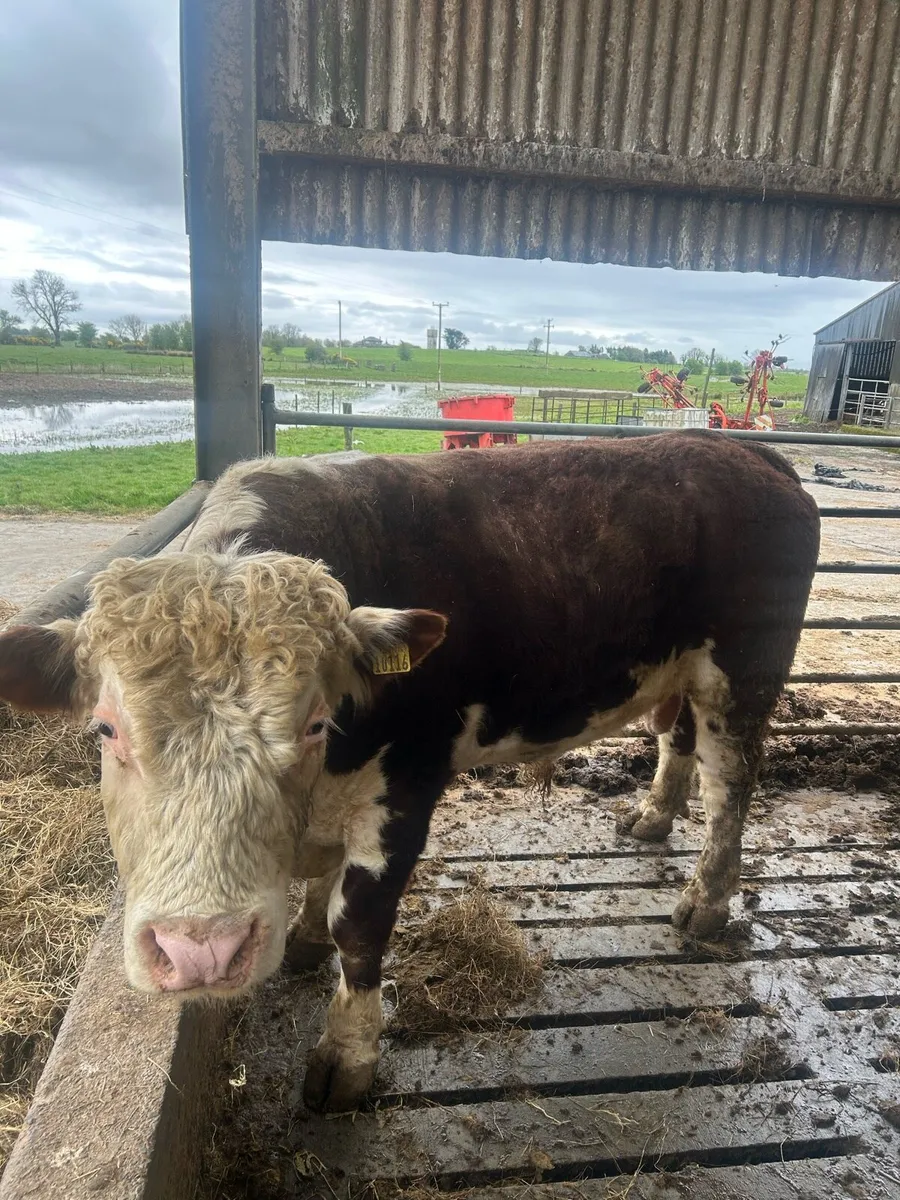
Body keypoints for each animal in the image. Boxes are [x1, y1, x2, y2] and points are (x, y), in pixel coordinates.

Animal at [0, 432, 820, 1112]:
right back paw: (652, 816)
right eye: (106, 728)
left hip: (744, 673)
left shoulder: (407, 784)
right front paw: (305, 934)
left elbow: (360, 926)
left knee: (731, 783)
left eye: (315, 721)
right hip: (687, 671)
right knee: (679, 739)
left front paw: (346, 1056)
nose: (201, 950)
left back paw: (706, 901)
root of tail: (745, 452)